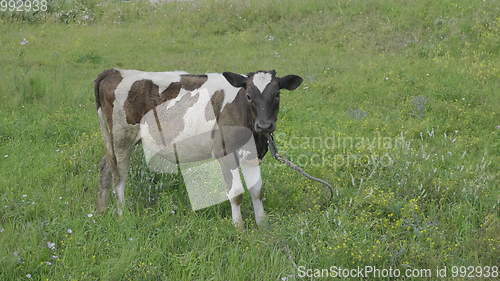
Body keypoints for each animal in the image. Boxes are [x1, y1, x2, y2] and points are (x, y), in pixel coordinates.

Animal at [95, 68, 302, 228]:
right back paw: (121, 214)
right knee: (119, 175)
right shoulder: (225, 154)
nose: (265, 126)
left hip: (112, 139)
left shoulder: (252, 155)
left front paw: (262, 225)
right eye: (249, 96)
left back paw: (102, 210)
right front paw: (239, 228)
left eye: (277, 95)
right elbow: (236, 193)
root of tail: (115, 71)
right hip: (122, 138)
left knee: (106, 167)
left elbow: (257, 190)